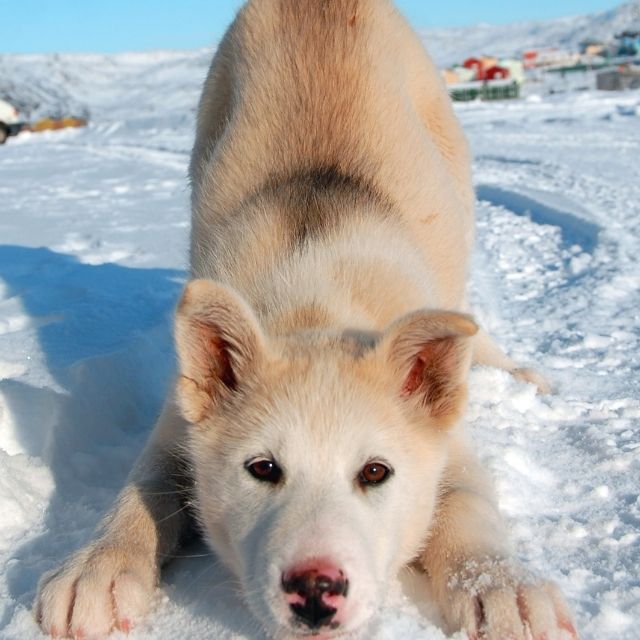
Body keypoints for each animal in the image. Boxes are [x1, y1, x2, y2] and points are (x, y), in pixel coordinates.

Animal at [35, 1, 576, 640]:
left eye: (375, 472)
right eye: (263, 468)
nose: (316, 589)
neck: (316, 301)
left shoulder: (451, 450)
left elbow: (468, 504)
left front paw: (499, 583)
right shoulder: (177, 421)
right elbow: (144, 485)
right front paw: (99, 564)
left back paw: (520, 374)